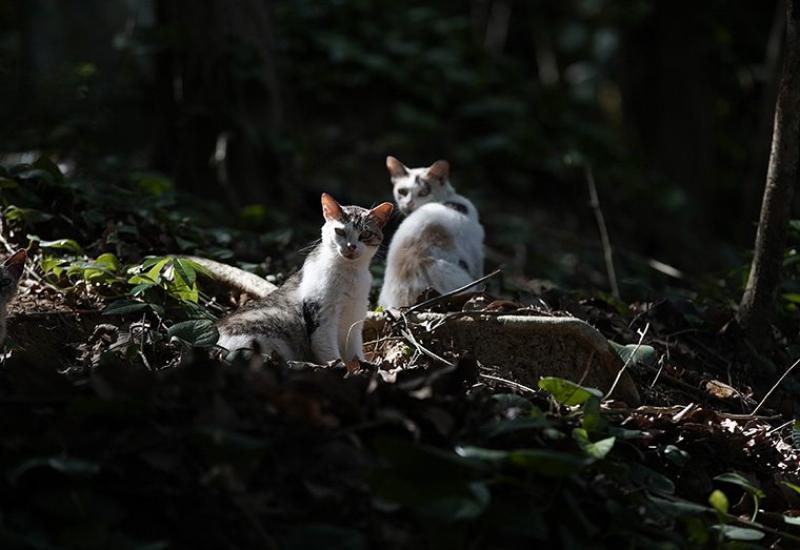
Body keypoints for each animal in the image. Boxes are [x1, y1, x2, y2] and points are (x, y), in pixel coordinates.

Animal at [216, 192, 394, 364]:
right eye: (340, 231)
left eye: (365, 233)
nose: (351, 246)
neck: (350, 274)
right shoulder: (321, 319)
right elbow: (332, 357)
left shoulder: (354, 320)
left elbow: (355, 354)